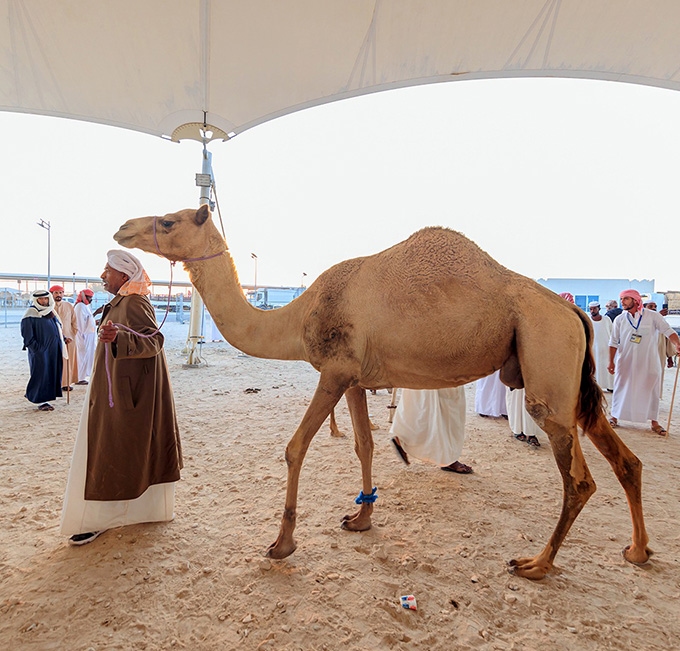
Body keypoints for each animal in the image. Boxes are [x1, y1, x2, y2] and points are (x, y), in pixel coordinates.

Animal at [113, 205, 650, 580]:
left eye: (168, 219)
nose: (122, 228)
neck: (298, 315)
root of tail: (572, 311)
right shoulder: (353, 378)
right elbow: (364, 444)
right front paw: (361, 518)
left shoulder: (333, 371)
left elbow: (295, 448)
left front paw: (282, 543)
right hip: (570, 384)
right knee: (625, 461)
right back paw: (638, 550)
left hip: (545, 364)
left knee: (579, 478)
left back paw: (537, 563)